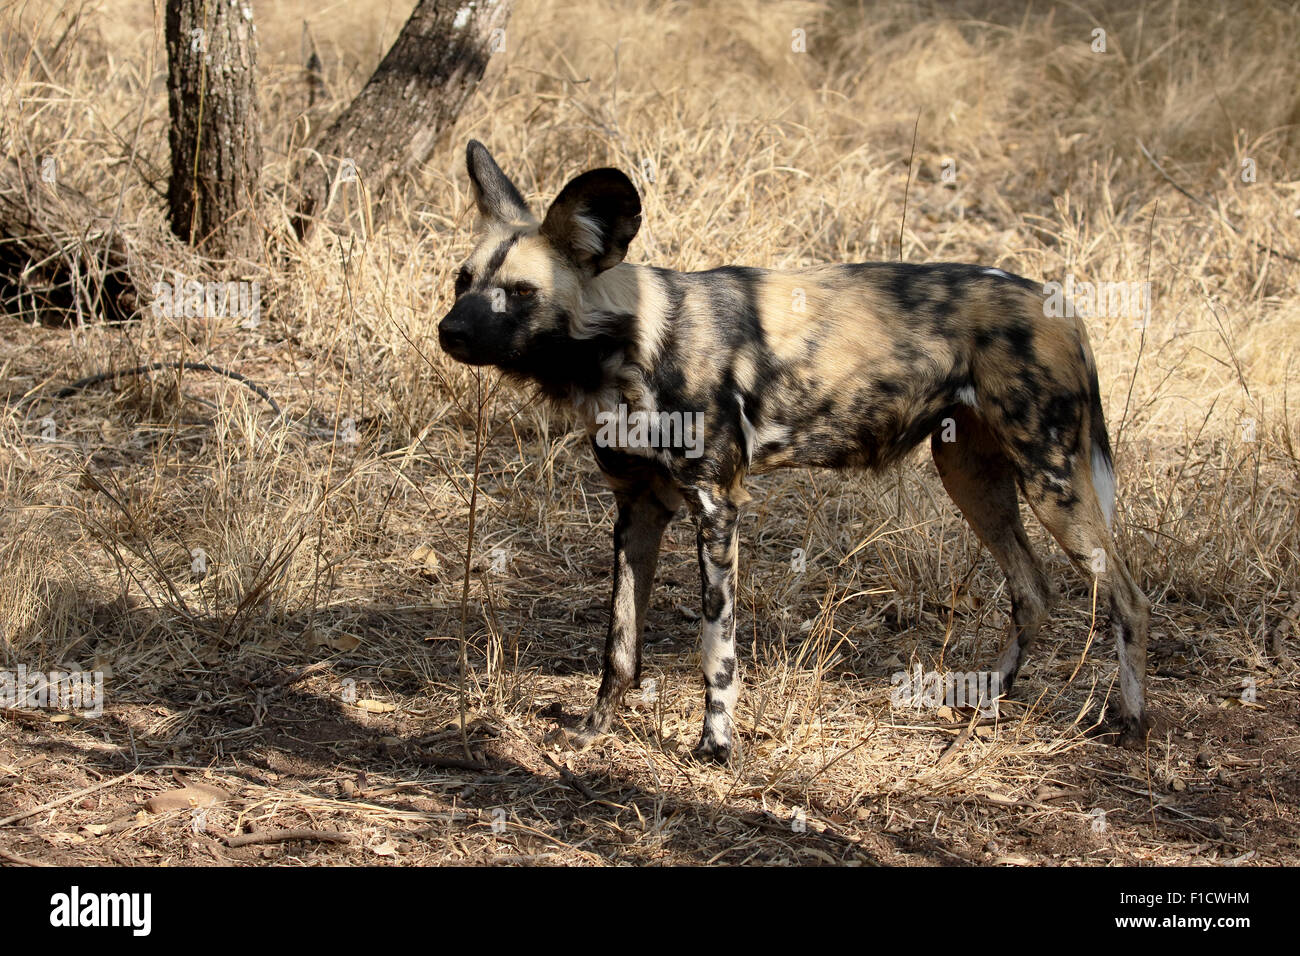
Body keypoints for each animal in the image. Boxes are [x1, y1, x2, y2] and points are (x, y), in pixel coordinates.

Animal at [441, 140, 1154, 764]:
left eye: (522, 292)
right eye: (461, 281)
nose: (448, 332)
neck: (634, 344)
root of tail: (1058, 303)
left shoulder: (717, 508)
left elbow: (716, 649)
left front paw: (716, 747)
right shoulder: (638, 510)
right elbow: (619, 647)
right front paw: (593, 731)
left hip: (1053, 484)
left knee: (1128, 596)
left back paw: (1132, 723)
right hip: (970, 478)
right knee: (1032, 590)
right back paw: (984, 704)